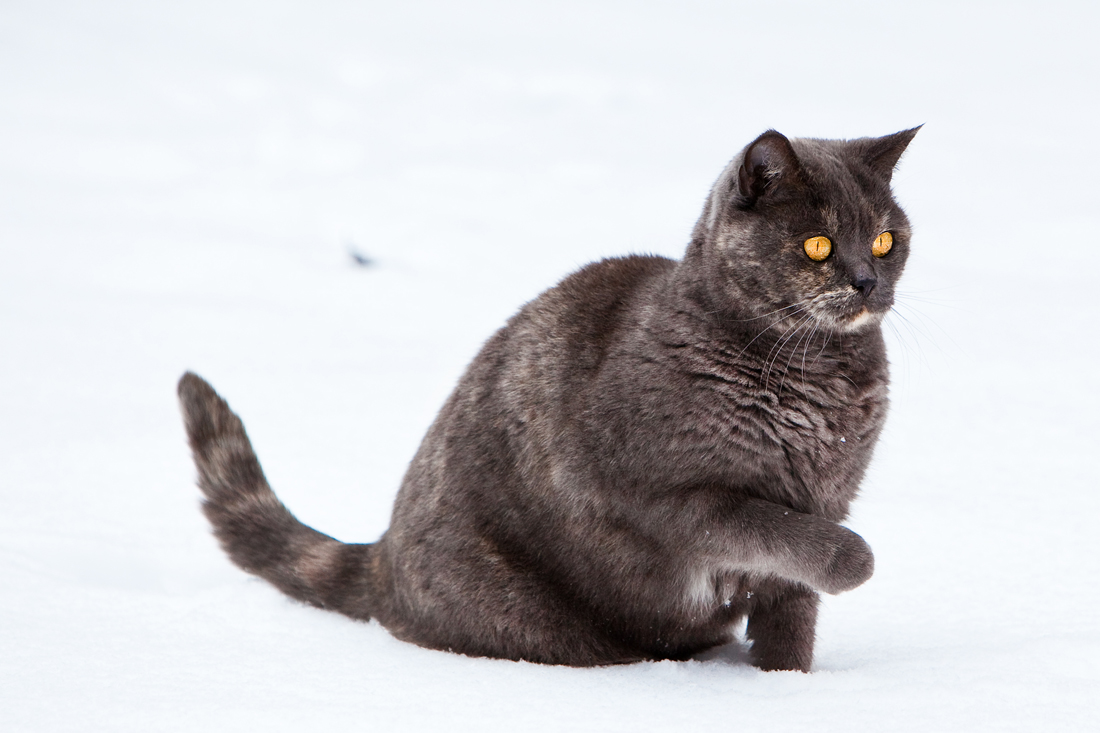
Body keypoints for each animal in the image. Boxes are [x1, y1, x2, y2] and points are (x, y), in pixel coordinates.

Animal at [182, 125, 919, 669]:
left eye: (887, 239)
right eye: (817, 245)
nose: (866, 280)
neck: (818, 380)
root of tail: (381, 554)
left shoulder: (829, 494)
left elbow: (792, 611)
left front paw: (785, 686)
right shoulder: (669, 498)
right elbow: (777, 531)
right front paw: (854, 561)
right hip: (533, 612)